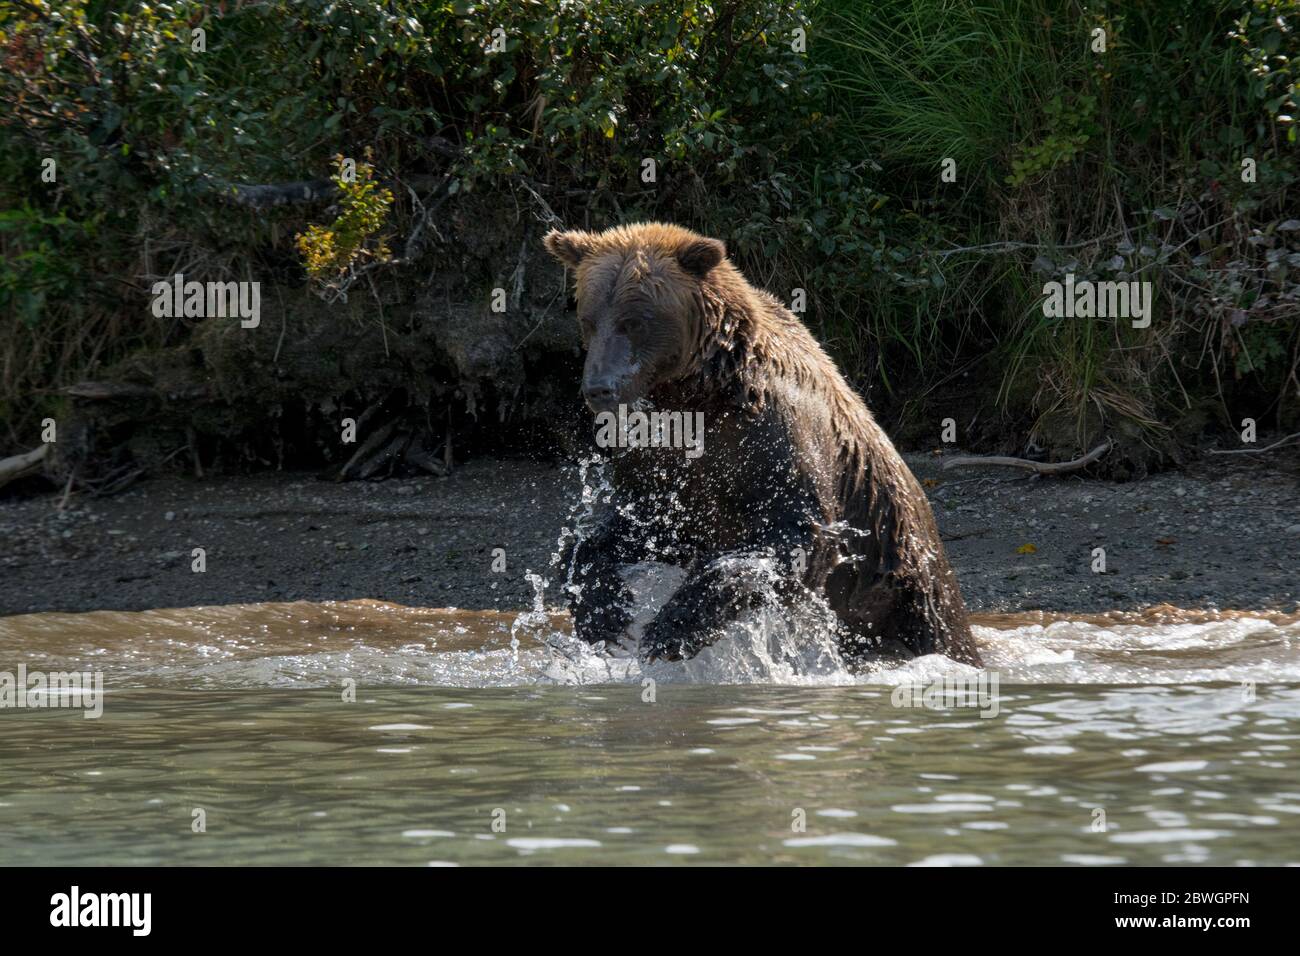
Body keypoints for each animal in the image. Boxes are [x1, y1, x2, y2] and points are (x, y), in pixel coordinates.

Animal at [543, 222, 977, 665]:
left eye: (633, 321)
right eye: (589, 320)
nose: (599, 388)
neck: (697, 394)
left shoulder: (775, 437)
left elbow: (796, 532)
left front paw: (672, 627)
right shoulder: (662, 464)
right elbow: (626, 530)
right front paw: (604, 614)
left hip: (906, 577)